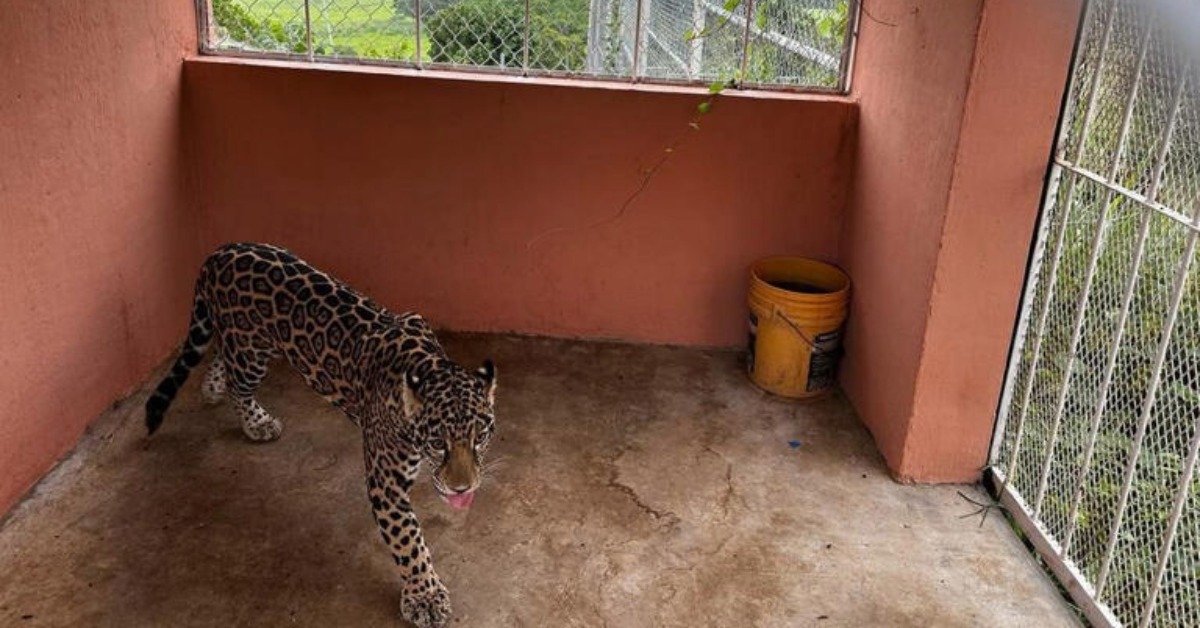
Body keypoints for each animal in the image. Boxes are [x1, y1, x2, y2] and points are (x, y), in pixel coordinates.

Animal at [144, 242, 497, 628]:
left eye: (480, 437)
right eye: (437, 443)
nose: (463, 489)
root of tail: (222, 250)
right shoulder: (386, 485)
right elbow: (409, 542)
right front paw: (426, 597)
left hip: (246, 342)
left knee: (222, 350)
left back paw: (212, 385)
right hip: (252, 352)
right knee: (238, 381)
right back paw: (254, 420)